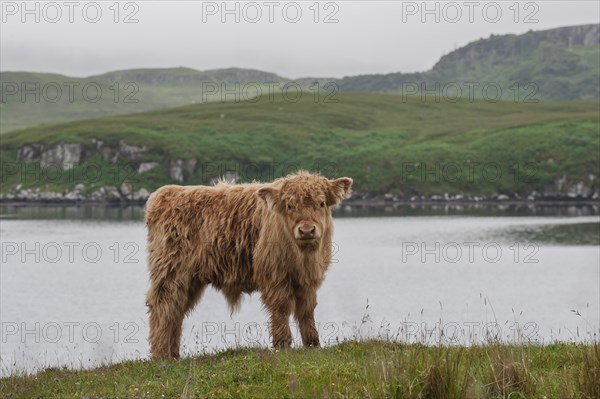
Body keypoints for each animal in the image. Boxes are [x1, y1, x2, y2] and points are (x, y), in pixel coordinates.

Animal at [145, 170, 352, 358]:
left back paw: (173, 354)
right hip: (171, 270)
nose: (307, 230)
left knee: (177, 310)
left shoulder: (308, 278)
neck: (302, 255)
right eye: (290, 205)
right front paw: (283, 345)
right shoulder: (274, 273)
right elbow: (282, 306)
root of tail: (165, 193)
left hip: (190, 279)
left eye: (321, 203)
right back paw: (161, 354)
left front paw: (313, 344)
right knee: (164, 306)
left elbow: (307, 309)